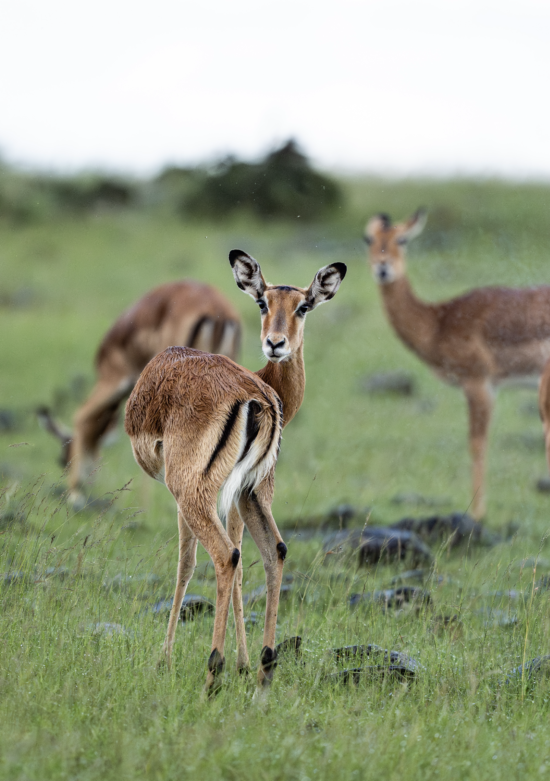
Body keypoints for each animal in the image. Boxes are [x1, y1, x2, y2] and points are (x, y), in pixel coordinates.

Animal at [127, 250, 348, 688]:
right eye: (262, 302)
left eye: (304, 306)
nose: (275, 343)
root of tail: (255, 397)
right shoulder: (247, 492)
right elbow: (247, 560)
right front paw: (244, 662)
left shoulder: (195, 495)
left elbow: (187, 564)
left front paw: (166, 660)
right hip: (248, 495)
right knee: (274, 551)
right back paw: (263, 666)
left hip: (193, 492)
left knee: (224, 555)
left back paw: (215, 670)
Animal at [366, 210, 550, 520]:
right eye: (368, 239)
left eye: (402, 239)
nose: (383, 267)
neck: (439, 322)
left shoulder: (478, 383)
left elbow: (477, 444)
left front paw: (477, 515)